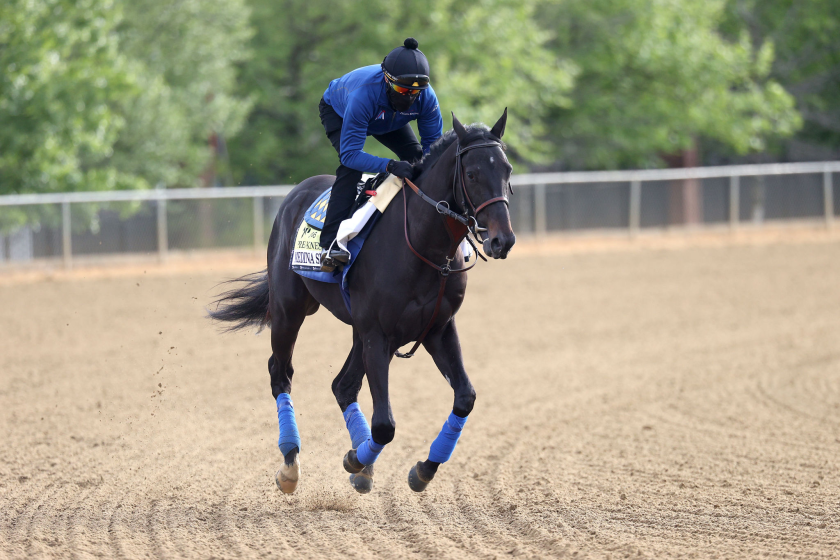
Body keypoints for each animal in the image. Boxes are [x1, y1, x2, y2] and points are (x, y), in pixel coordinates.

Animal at [210, 109, 512, 494]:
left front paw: (420, 469)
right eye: (472, 174)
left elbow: (464, 398)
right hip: (289, 310)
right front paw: (357, 460)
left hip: (360, 330)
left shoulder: (437, 330)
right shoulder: (377, 334)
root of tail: (296, 193)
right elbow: (384, 424)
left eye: (507, 170)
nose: (503, 240)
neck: (424, 247)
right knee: (281, 373)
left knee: (342, 385)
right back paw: (291, 464)